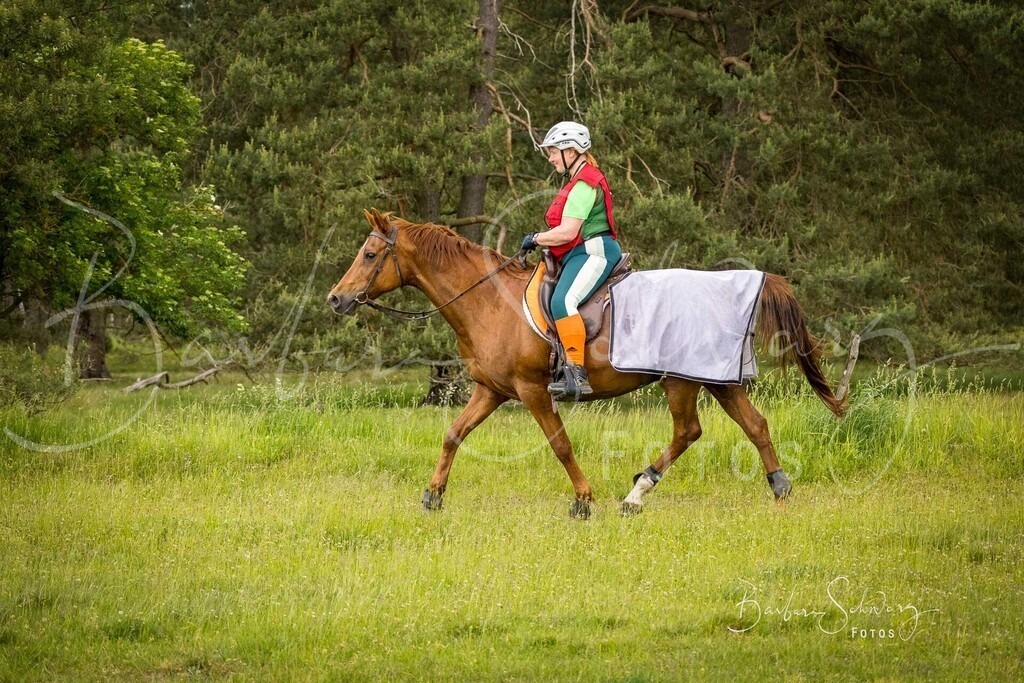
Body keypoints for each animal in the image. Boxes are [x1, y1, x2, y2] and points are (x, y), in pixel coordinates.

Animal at [328, 208, 846, 518]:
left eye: (369, 254)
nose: (335, 299)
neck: (489, 301)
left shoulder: (533, 390)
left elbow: (559, 444)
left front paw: (582, 500)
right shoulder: (491, 390)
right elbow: (454, 433)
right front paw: (433, 495)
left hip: (682, 379)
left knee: (690, 430)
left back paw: (638, 492)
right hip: (715, 378)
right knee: (751, 425)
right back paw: (775, 488)